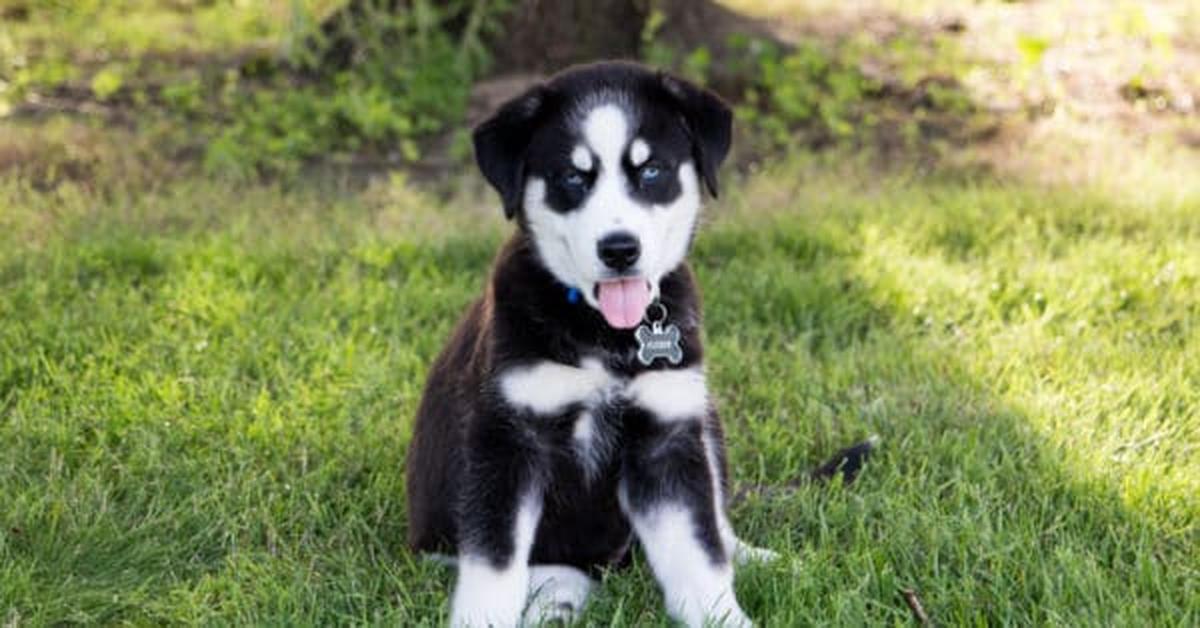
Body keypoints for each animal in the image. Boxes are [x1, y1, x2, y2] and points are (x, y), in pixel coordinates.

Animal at [408, 60, 772, 628]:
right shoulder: (507, 441)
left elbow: (699, 554)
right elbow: (494, 565)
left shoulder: (667, 433)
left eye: (651, 171)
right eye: (572, 178)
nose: (620, 250)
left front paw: (723, 615)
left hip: (704, 418)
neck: (602, 333)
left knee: (718, 524)